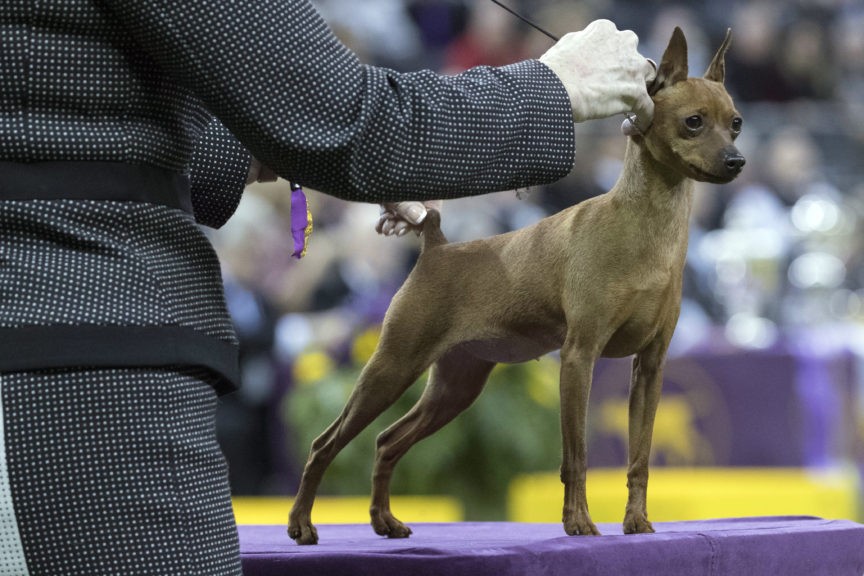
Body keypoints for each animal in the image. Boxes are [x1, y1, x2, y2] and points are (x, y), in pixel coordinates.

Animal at [288, 24, 744, 544]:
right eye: (693, 122)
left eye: (735, 123)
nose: (737, 160)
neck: (647, 227)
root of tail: (437, 247)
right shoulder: (579, 357)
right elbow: (576, 456)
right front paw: (578, 522)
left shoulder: (650, 368)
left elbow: (640, 457)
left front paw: (636, 521)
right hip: (392, 367)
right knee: (325, 443)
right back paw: (301, 523)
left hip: (455, 387)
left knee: (386, 442)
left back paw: (385, 520)